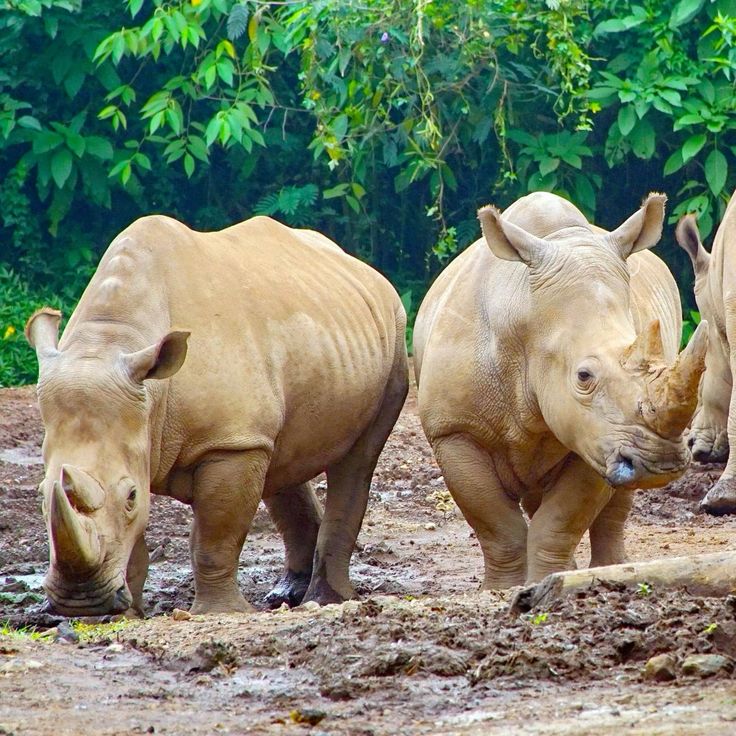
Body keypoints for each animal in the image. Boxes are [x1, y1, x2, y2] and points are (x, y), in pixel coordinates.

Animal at [26, 215, 408, 616]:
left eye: (130, 495)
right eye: (40, 496)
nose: (78, 602)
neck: (112, 340)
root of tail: (361, 267)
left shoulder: (229, 442)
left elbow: (215, 536)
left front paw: (219, 612)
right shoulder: (155, 430)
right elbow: (134, 542)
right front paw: (126, 613)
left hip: (393, 337)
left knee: (357, 460)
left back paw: (324, 600)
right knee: (281, 457)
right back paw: (286, 596)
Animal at [413, 192, 707, 587]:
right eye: (583, 376)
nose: (661, 463)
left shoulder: (596, 436)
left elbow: (559, 522)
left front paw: (546, 582)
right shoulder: (454, 431)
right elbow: (496, 525)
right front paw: (502, 589)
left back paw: (607, 569)